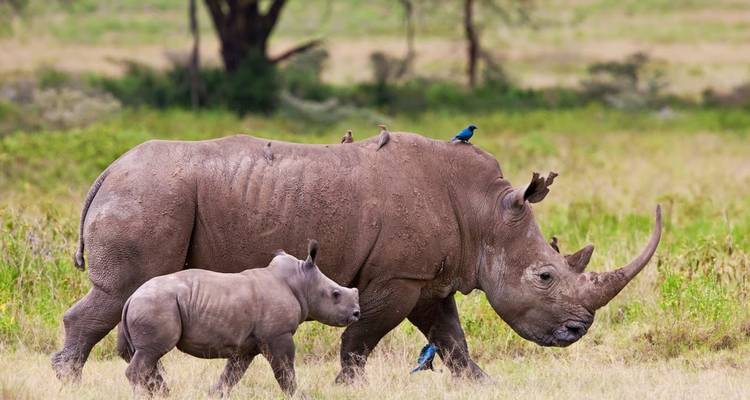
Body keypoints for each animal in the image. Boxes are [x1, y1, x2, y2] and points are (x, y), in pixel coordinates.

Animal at [119, 240, 359, 397]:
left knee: (149, 356)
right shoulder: (278, 334)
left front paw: (213, 394)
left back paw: (164, 395)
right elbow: (285, 369)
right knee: (151, 353)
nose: (356, 313)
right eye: (335, 294)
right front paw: (300, 396)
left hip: (152, 303)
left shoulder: (246, 344)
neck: (301, 282)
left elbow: (232, 374)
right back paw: (145, 395)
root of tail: (131, 297)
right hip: (155, 304)